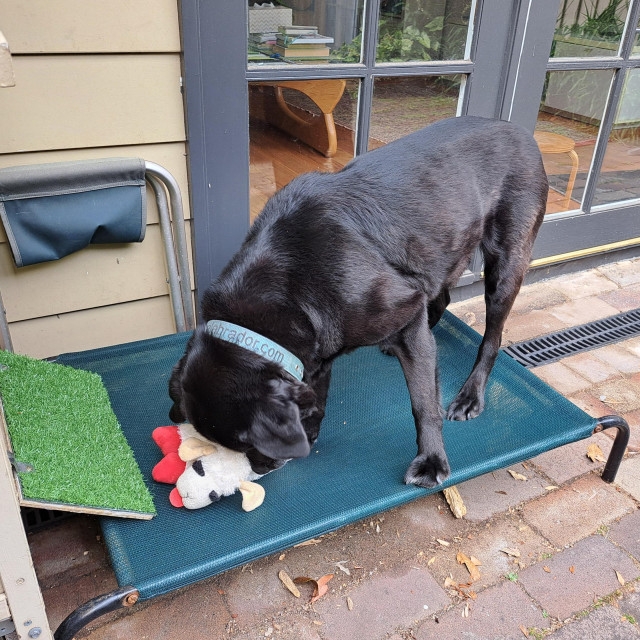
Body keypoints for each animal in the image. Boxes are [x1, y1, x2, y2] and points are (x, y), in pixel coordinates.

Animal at [168, 115, 548, 488]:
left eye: (246, 442)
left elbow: (424, 403)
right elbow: (317, 395)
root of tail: (520, 131)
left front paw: (431, 461)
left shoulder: (401, 309)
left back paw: (470, 395)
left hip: (505, 268)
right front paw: (311, 432)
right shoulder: (320, 345)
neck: (286, 284)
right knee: (440, 295)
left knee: (491, 337)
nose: (261, 470)